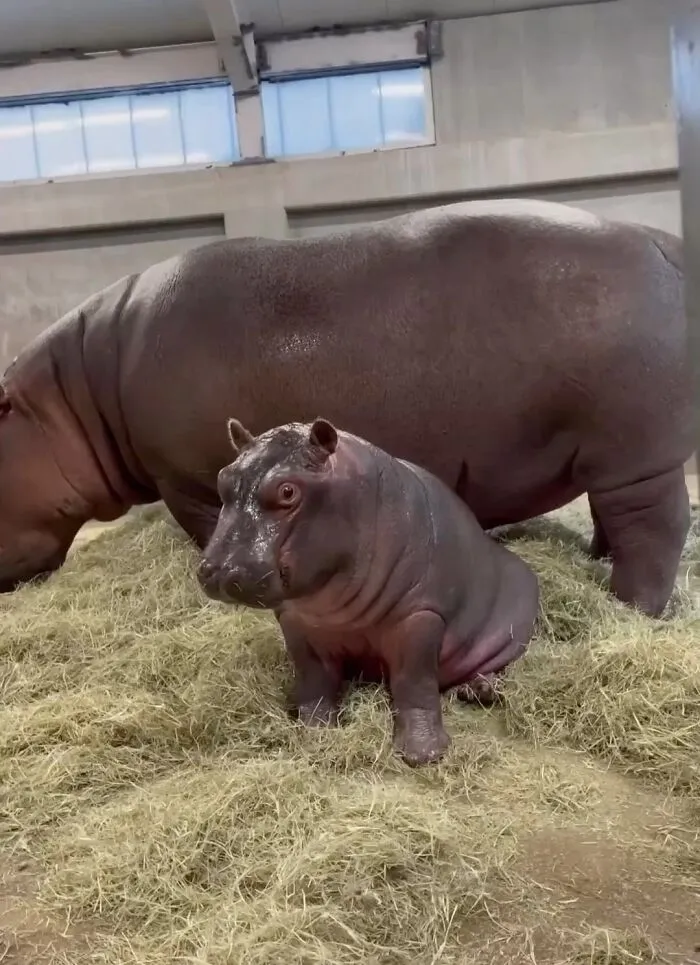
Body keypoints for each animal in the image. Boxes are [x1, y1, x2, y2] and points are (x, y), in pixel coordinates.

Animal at [0, 198, 692, 615]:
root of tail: (665, 243)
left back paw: (630, 607)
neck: (76, 391)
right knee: (615, 519)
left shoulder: (186, 482)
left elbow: (209, 528)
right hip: (608, 459)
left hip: (640, 457)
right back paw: (596, 561)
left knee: (656, 531)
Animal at [198, 417, 540, 765]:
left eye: (287, 490)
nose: (218, 571)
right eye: (222, 478)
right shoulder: (297, 622)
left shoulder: (420, 617)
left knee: (497, 668)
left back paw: (478, 691)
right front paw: (314, 730)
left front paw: (423, 755)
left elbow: (414, 683)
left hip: (511, 637)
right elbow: (314, 677)